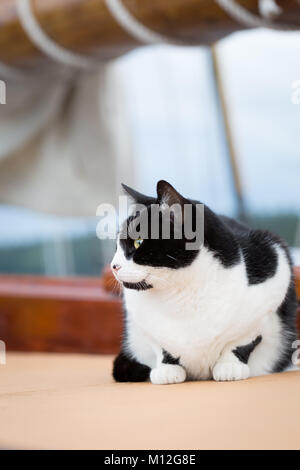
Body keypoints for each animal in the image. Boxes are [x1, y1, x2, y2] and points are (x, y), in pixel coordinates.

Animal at [111, 182, 296, 384]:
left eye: (138, 242)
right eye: (116, 246)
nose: (113, 266)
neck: (180, 293)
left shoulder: (275, 263)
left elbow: (243, 339)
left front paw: (229, 366)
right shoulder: (141, 320)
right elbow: (160, 343)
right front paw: (167, 368)